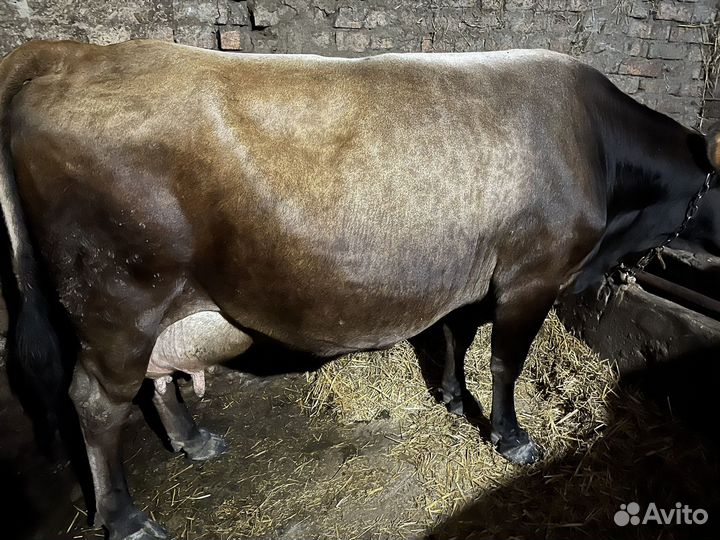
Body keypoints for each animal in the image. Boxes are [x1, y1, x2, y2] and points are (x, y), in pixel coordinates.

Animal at [1, 39, 718, 540]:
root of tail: (71, 52)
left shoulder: (470, 275)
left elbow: (456, 335)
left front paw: (451, 398)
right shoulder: (530, 277)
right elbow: (505, 360)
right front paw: (511, 438)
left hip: (153, 306)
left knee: (156, 375)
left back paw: (193, 440)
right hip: (117, 297)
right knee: (95, 403)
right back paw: (125, 517)